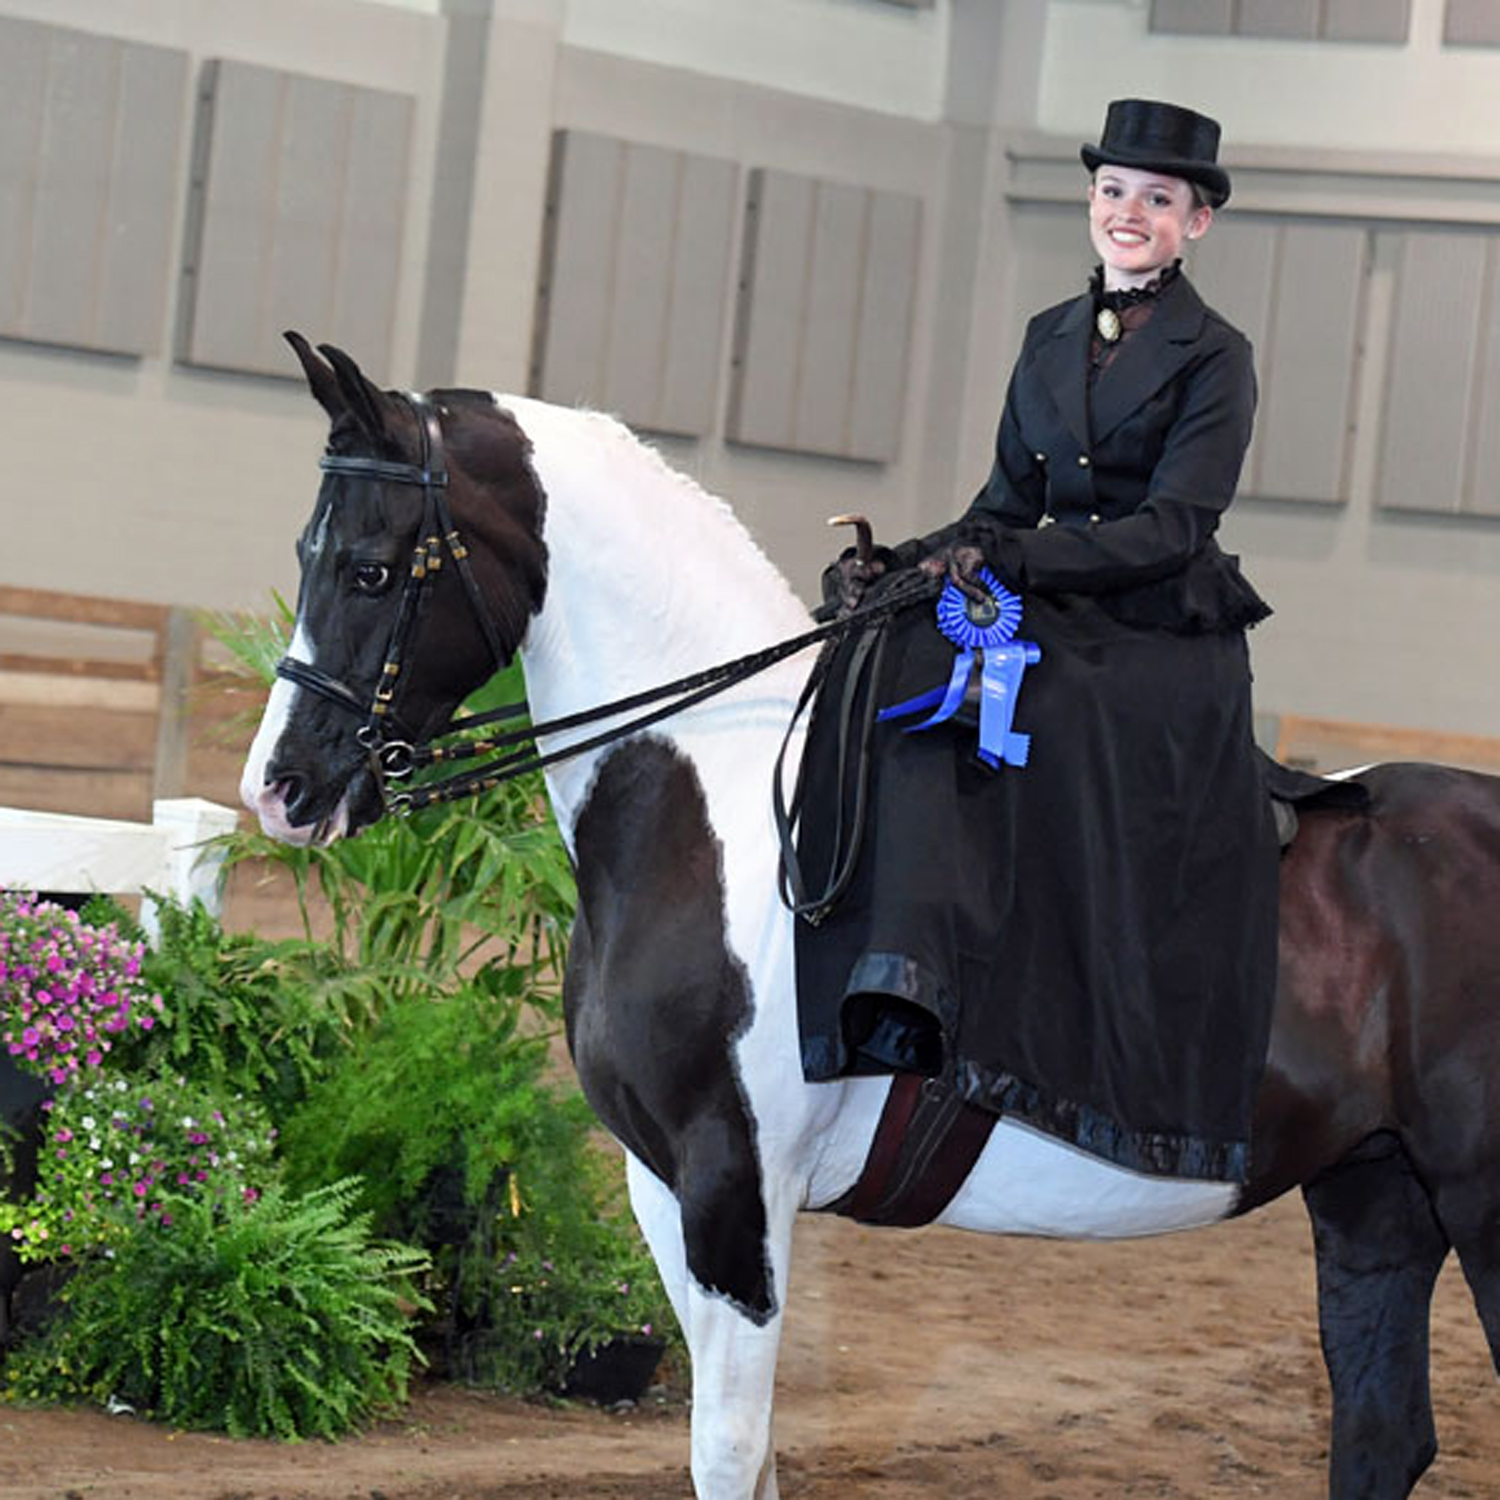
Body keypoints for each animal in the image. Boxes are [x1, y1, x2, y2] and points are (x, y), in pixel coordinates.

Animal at [242, 333, 1500, 1500]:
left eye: (369, 570)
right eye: (303, 554)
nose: (280, 789)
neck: (715, 804)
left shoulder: (736, 1188)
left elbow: (726, 1451)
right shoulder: (666, 1188)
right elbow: (748, 1458)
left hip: (1474, 1198)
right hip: (1376, 1195)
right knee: (1382, 1435)